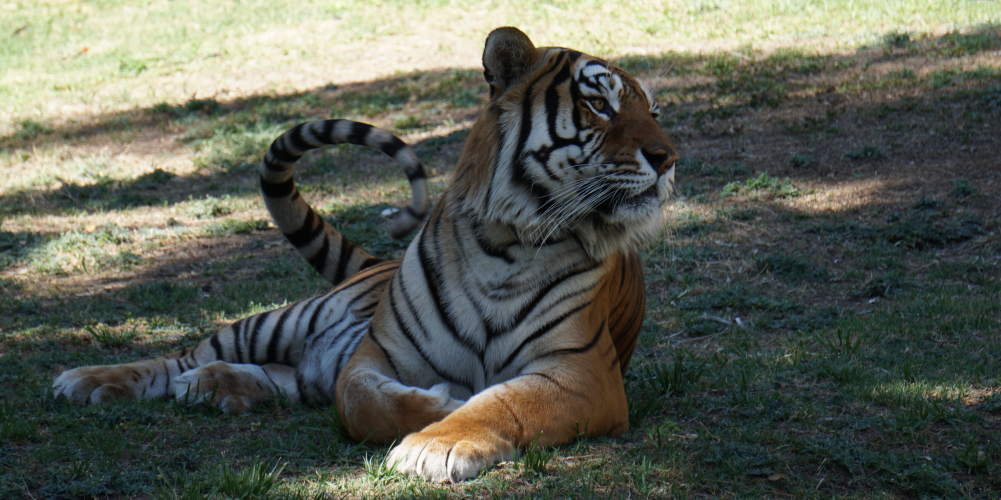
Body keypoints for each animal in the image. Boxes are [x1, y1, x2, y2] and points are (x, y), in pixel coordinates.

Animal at [53, 26, 679, 482]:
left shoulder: (582, 372)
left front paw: (439, 442)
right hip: (282, 319)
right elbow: (363, 403)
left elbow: (504, 402)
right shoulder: (374, 355)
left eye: (653, 111)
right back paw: (92, 380)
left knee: (286, 378)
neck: (507, 245)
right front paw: (440, 405)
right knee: (181, 357)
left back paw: (214, 386)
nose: (668, 157)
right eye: (598, 104)